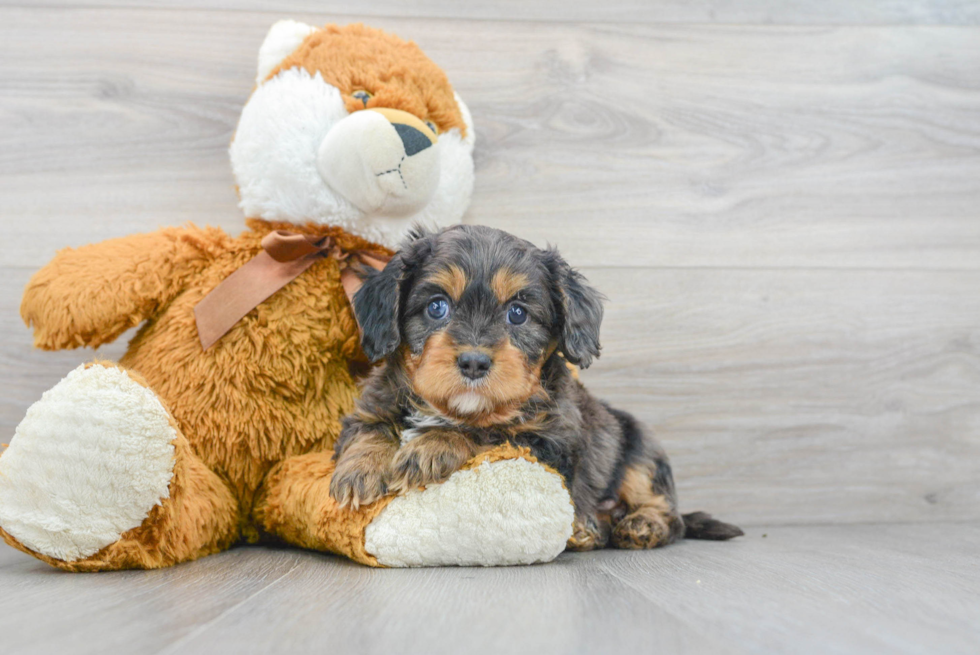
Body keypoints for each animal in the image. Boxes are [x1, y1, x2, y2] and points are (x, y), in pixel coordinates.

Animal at [330, 224, 744, 548]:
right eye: (436, 307)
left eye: (518, 313)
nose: (474, 362)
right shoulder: (372, 405)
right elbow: (369, 428)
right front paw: (360, 470)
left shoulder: (549, 445)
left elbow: (487, 434)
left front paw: (432, 445)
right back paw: (593, 530)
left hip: (640, 450)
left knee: (670, 515)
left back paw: (639, 525)